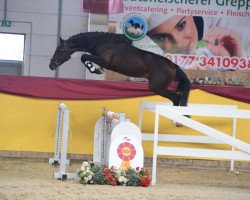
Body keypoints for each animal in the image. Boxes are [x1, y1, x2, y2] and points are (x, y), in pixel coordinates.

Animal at [49, 32, 190, 108]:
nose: (51, 65)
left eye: (59, 50)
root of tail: (173, 65)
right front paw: (94, 68)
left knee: (176, 98)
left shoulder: (104, 60)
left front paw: (95, 69)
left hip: (157, 87)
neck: (101, 42)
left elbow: (84, 56)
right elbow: (84, 57)